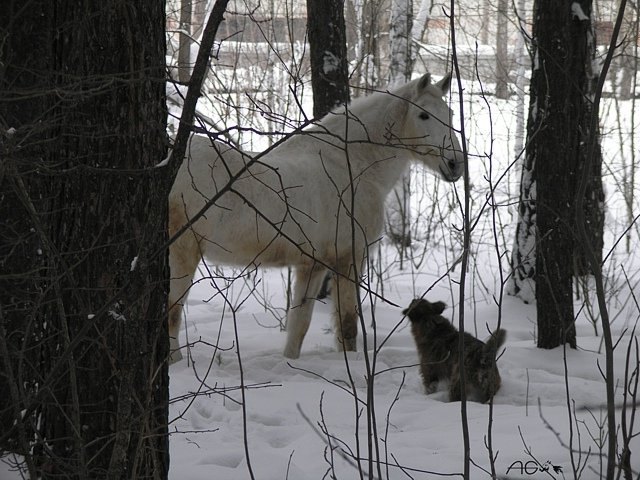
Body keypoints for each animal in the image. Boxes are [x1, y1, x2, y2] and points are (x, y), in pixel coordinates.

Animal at [168, 73, 462, 360]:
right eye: (423, 115)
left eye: (449, 113)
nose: (455, 164)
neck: (351, 164)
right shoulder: (350, 259)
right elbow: (347, 325)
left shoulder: (312, 266)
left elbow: (299, 324)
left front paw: (290, 362)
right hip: (183, 254)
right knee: (172, 312)